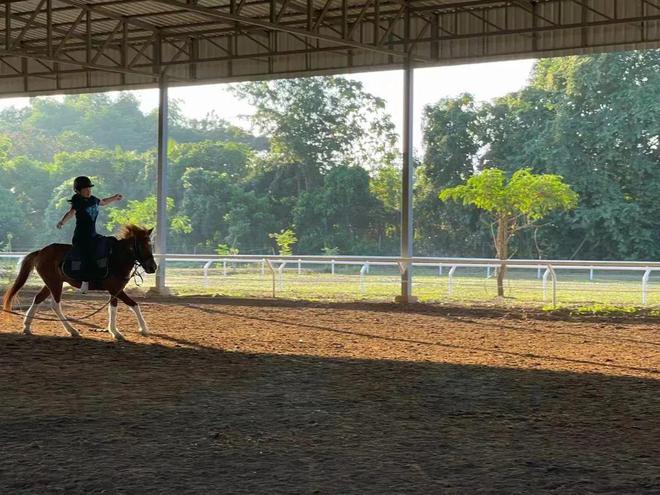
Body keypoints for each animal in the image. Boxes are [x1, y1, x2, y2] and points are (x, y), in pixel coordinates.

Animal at [2, 225, 159, 340]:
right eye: (142, 246)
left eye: (151, 246)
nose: (153, 267)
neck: (115, 258)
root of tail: (40, 252)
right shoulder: (115, 290)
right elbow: (128, 306)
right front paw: (127, 331)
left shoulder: (116, 291)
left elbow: (122, 307)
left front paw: (124, 331)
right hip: (55, 284)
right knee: (55, 305)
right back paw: (72, 331)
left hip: (51, 283)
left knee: (38, 299)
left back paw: (27, 327)